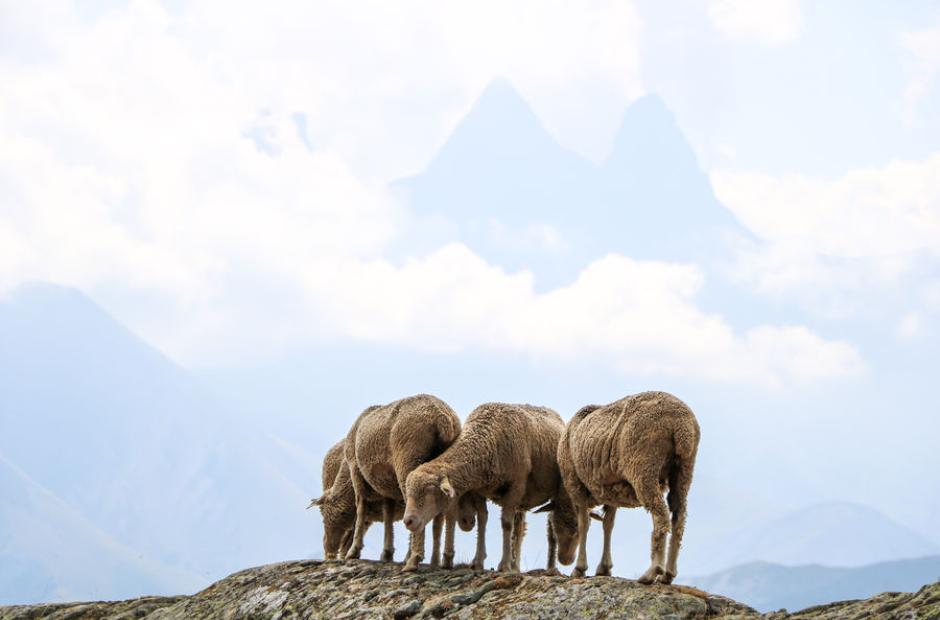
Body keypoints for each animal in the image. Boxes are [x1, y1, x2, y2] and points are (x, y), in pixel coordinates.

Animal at [344, 394, 463, 570]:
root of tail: (444, 420)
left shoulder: (355, 471)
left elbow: (361, 508)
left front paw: (353, 551)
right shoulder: (386, 484)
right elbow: (388, 513)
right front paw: (387, 553)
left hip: (408, 459)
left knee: (415, 504)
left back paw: (413, 559)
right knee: (442, 512)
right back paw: (437, 560)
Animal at [402, 403, 578, 574]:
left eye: (430, 491)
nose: (408, 521)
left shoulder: (515, 486)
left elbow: (506, 524)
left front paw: (504, 565)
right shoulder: (478, 490)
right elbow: (483, 519)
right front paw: (479, 561)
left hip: (557, 493)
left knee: (551, 529)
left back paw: (549, 567)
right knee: (520, 529)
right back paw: (516, 565)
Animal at [557, 391, 700, 584]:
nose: (564, 559)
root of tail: (682, 425)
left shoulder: (575, 485)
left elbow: (584, 525)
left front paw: (580, 568)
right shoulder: (610, 492)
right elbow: (608, 525)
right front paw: (604, 567)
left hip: (644, 467)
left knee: (661, 517)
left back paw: (652, 572)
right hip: (684, 471)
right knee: (679, 518)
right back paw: (668, 575)